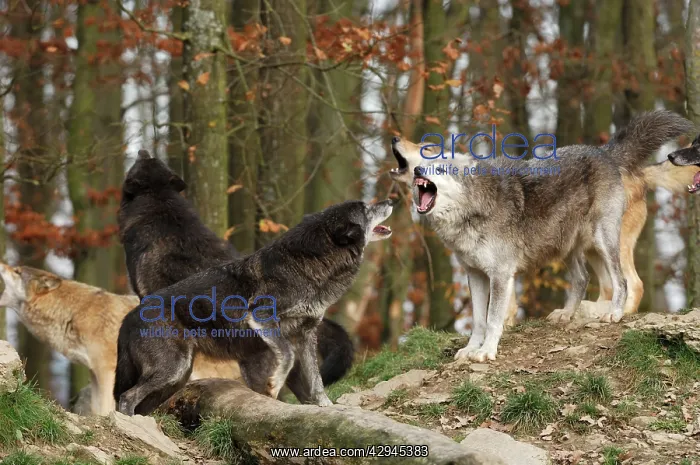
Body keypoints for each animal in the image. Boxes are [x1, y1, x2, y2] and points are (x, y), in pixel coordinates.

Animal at [0, 264, 240, 415]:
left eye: (17, 270)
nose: (3, 262)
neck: (76, 313)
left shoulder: (106, 370)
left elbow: (103, 409)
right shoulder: (94, 373)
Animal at [114, 199, 393, 415]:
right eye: (366, 208)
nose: (391, 200)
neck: (307, 265)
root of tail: (129, 316)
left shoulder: (306, 335)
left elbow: (316, 380)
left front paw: (326, 405)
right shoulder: (262, 318)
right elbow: (287, 357)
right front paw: (275, 383)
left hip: (176, 377)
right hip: (172, 369)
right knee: (126, 398)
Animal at [390, 110, 694, 362]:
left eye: (440, 167)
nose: (418, 170)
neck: (474, 209)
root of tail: (604, 152)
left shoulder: (501, 275)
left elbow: (493, 319)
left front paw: (487, 352)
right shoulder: (474, 274)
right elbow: (477, 320)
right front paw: (470, 349)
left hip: (605, 243)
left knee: (624, 281)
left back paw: (614, 314)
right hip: (573, 249)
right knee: (584, 280)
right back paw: (569, 314)